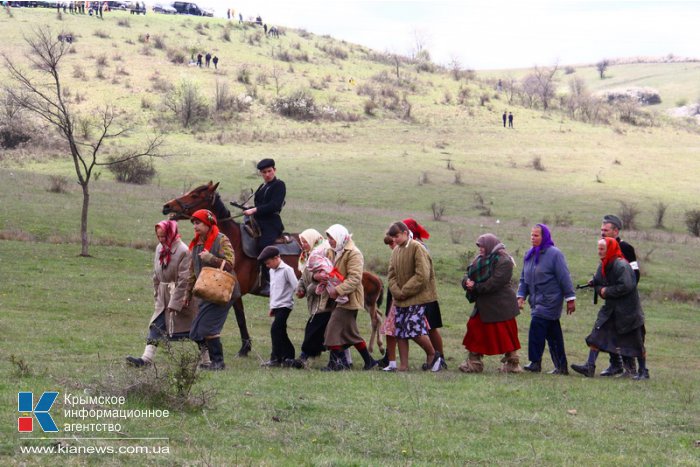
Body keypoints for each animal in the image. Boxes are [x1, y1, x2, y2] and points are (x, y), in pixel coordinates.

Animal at [162, 183, 386, 358]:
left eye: (195, 195)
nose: (167, 206)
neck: (234, 243)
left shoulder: (236, 291)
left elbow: (240, 319)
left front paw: (244, 348)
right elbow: (238, 318)